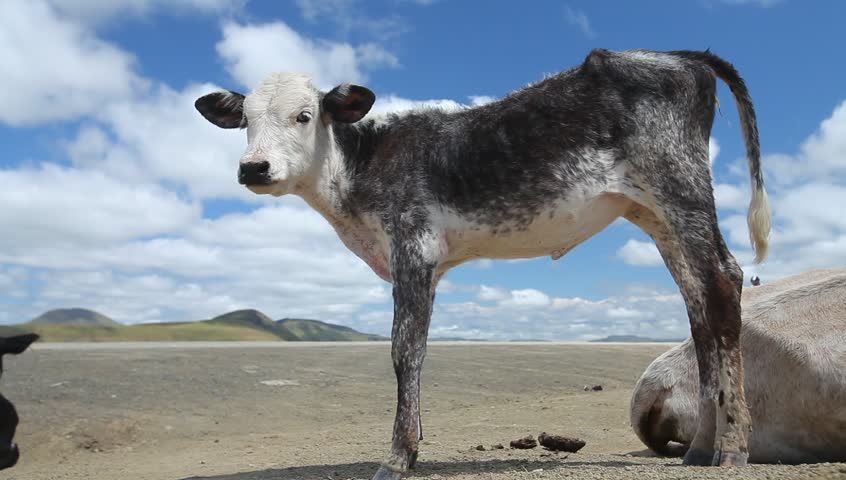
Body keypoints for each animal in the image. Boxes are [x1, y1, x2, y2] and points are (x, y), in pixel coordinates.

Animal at [195, 48, 771, 479]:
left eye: (304, 116)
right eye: (245, 122)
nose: (254, 168)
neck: (361, 165)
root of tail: (680, 55)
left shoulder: (413, 249)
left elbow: (405, 352)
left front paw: (398, 457)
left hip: (680, 187)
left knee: (723, 279)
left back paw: (732, 447)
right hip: (654, 214)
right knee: (698, 303)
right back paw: (699, 448)